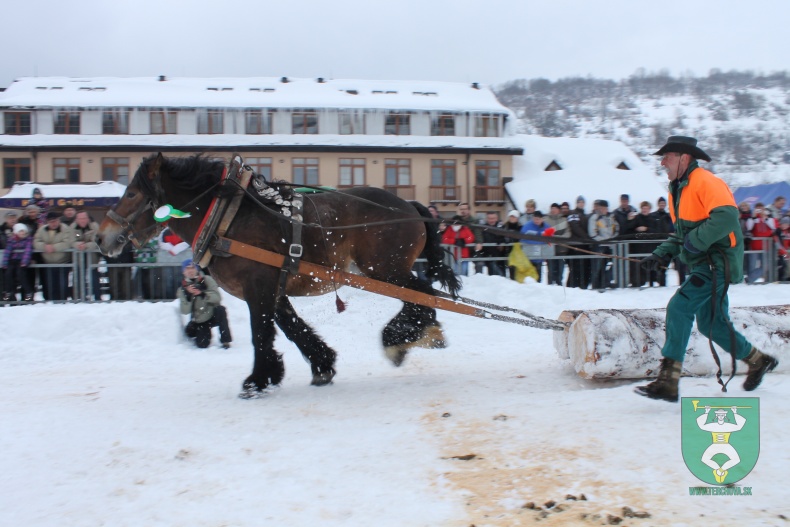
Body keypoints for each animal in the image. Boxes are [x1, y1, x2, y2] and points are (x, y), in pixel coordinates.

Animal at [96, 153, 460, 396]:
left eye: (132, 193)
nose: (101, 238)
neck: (229, 217)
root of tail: (410, 206)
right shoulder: (272, 287)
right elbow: (291, 328)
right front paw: (319, 365)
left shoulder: (258, 286)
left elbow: (261, 332)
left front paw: (256, 380)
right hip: (387, 271)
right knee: (422, 297)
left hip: (386, 270)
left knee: (424, 296)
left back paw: (398, 339)